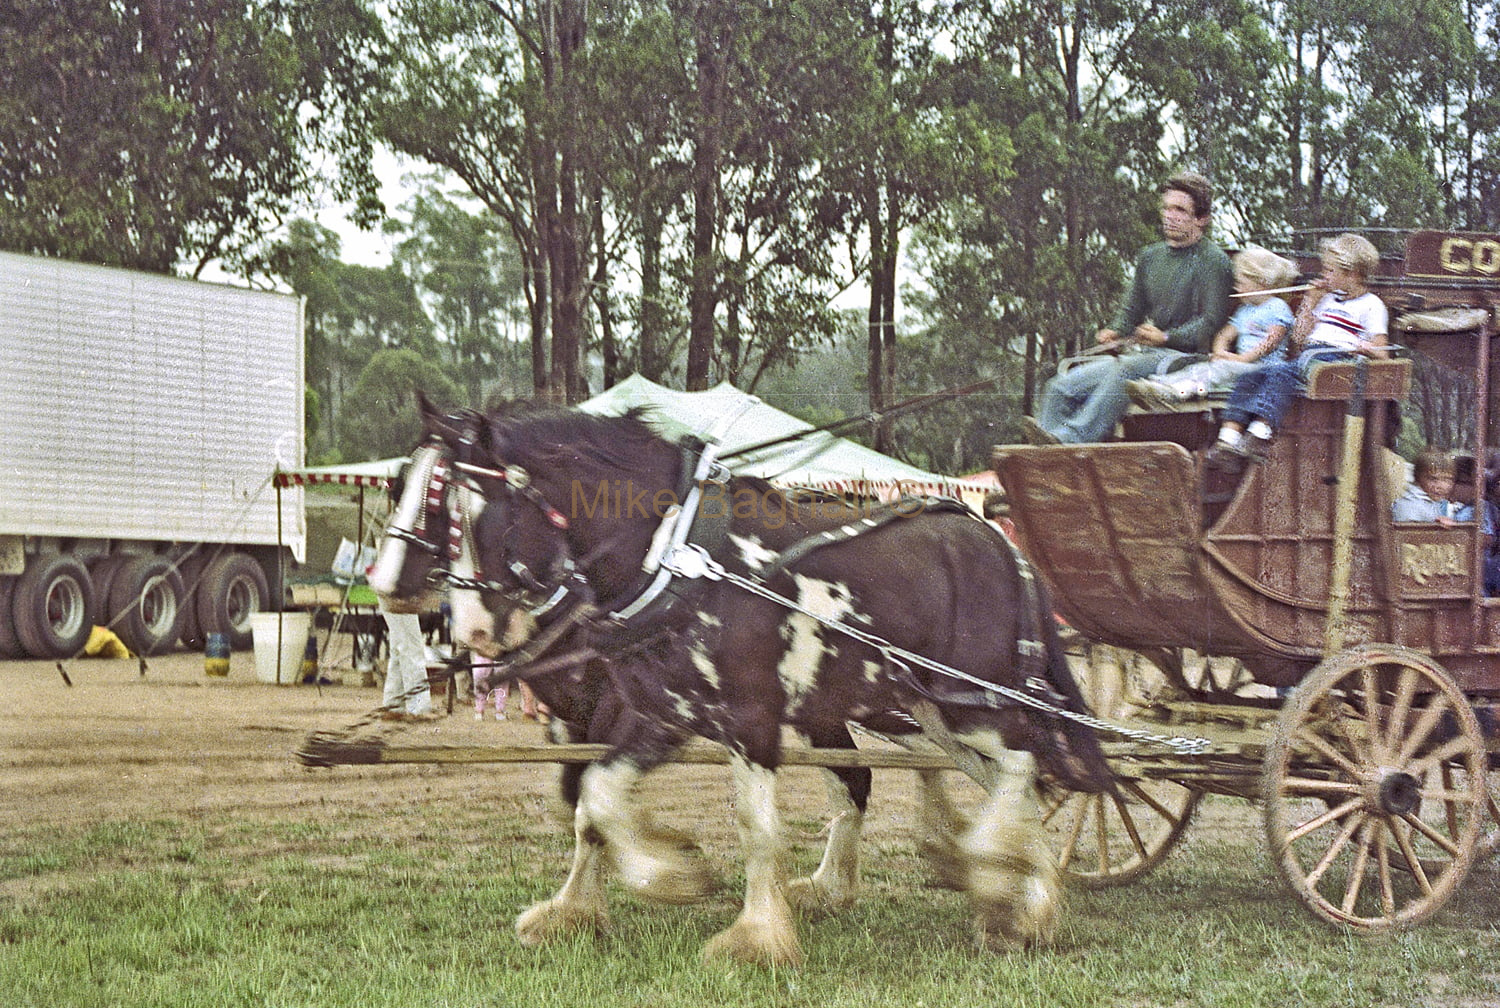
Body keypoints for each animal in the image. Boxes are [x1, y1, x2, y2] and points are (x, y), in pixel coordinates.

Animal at [367, 399, 1110, 966]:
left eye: (457, 507)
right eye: (404, 488)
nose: (468, 627)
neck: (673, 557)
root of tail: (1001, 544)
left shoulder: (750, 719)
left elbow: (756, 827)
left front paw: (755, 936)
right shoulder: (656, 713)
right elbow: (595, 801)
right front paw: (655, 881)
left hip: (977, 702)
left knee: (1022, 765)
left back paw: (1001, 880)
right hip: (931, 707)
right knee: (1006, 777)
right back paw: (1018, 894)